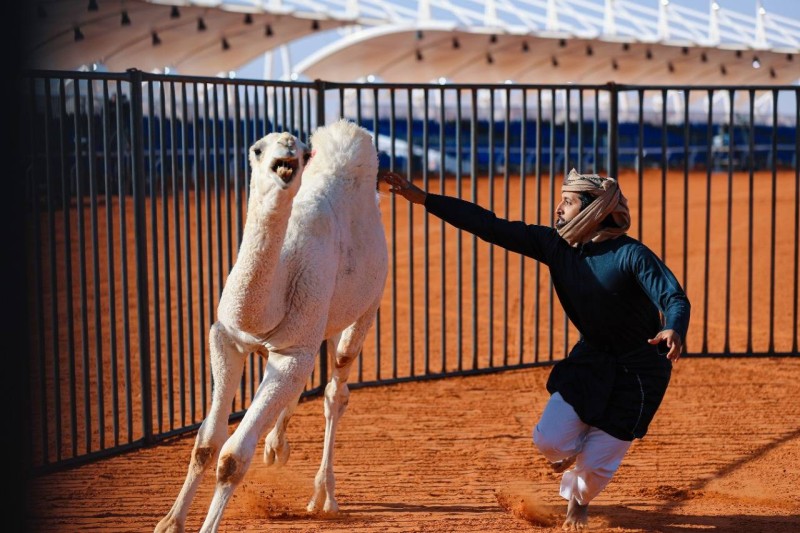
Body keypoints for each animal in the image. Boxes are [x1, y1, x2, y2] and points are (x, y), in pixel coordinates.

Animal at [155, 120, 388, 532]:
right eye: (257, 148)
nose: (287, 150)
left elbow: (232, 457)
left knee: (336, 389)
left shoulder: (292, 351)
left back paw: (324, 497)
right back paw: (277, 448)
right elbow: (206, 443)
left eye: (301, 150)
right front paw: (169, 522)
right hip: (320, 324)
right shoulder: (227, 338)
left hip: (367, 307)